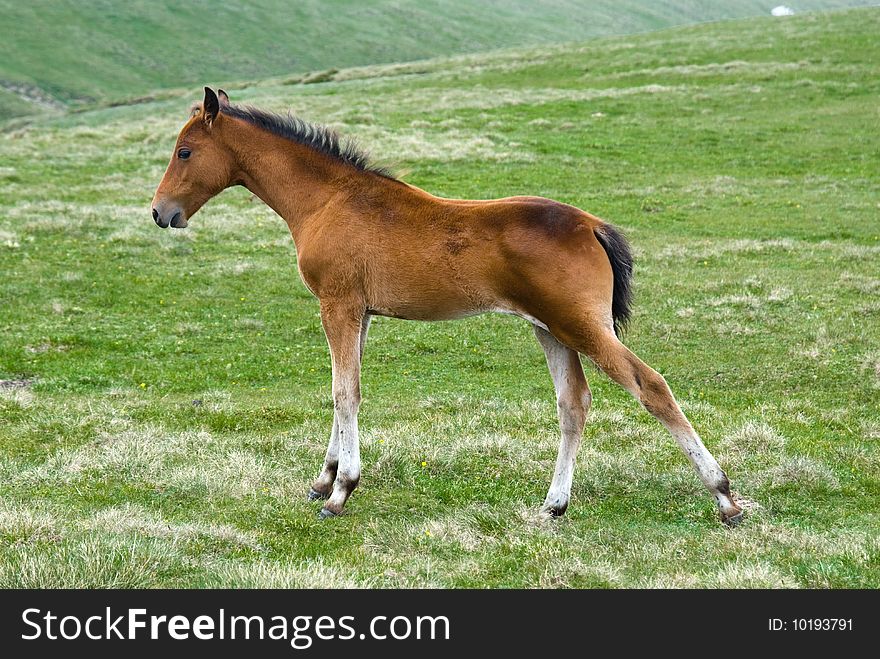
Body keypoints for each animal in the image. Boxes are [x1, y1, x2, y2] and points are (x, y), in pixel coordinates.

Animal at [151, 90, 744, 524]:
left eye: (184, 152)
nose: (161, 213)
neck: (328, 200)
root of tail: (591, 224)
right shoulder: (360, 315)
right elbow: (345, 391)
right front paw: (324, 479)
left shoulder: (338, 306)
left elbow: (345, 392)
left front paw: (342, 491)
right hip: (552, 329)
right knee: (574, 405)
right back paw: (553, 506)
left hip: (582, 327)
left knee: (652, 386)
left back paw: (724, 496)